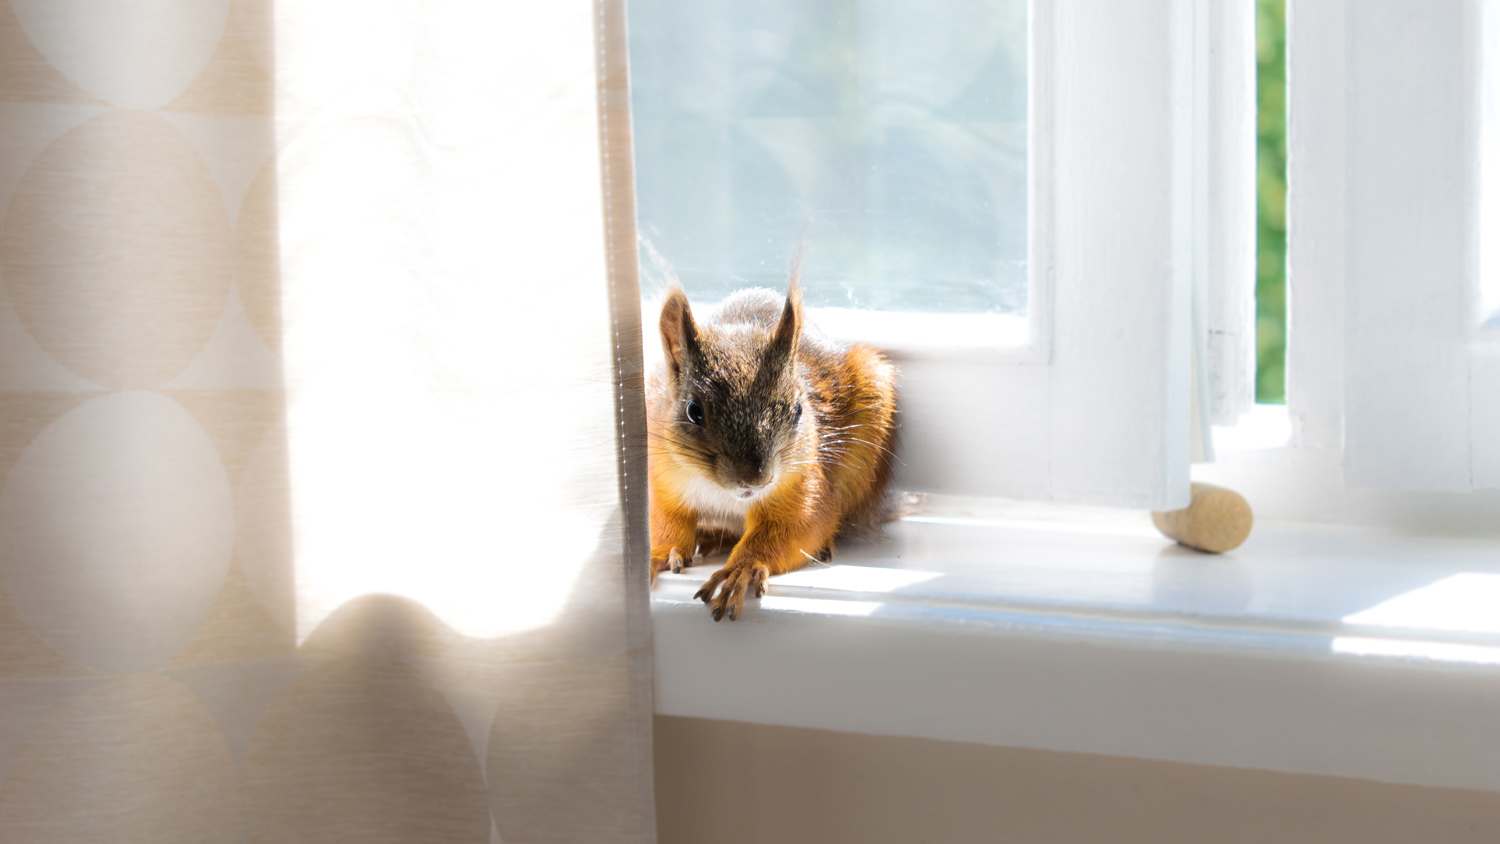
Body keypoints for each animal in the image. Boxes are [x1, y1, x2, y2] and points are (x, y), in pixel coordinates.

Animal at [646, 274, 898, 621]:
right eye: (694, 411)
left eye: (798, 410)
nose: (756, 480)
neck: (723, 495)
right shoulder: (662, 474)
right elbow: (667, 519)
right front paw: (659, 553)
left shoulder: (804, 483)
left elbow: (796, 527)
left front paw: (743, 568)